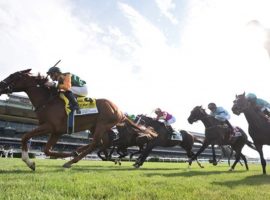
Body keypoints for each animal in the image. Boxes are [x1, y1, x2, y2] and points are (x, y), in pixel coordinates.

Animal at [0, 69, 150, 170]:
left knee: (95, 143)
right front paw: (68, 152)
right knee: (104, 143)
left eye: (13, 76)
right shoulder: (56, 131)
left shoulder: (50, 126)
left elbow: (25, 137)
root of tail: (119, 110)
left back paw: (71, 161)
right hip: (96, 127)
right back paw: (80, 153)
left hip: (102, 125)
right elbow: (46, 150)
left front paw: (29, 161)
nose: (1, 84)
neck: (47, 100)